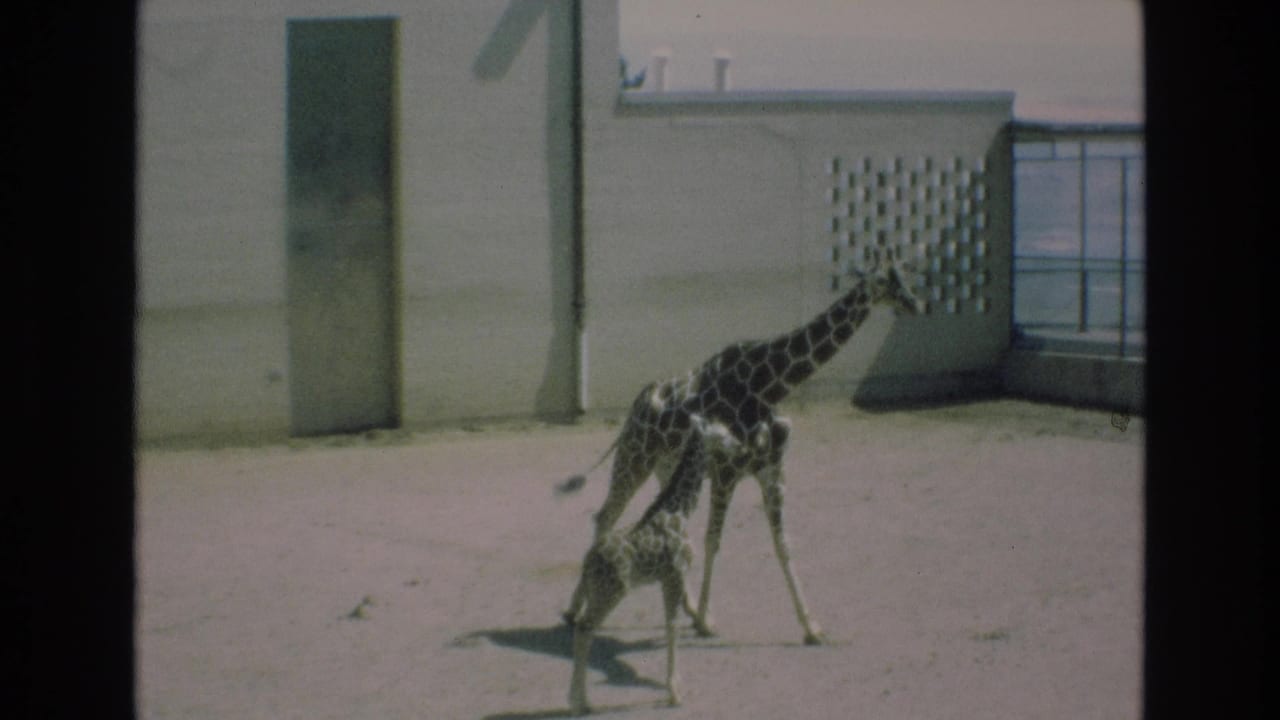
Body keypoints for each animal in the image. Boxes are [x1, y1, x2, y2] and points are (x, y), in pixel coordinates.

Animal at [559, 249, 924, 645]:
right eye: (885, 281)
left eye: (904, 275)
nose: (916, 304)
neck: (768, 386)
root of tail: (637, 405)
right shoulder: (726, 470)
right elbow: (713, 539)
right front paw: (706, 622)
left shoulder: (772, 470)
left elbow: (783, 544)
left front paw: (811, 627)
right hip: (635, 457)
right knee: (605, 516)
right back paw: (575, 608)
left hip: (667, 467)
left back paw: (684, 606)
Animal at [565, 415, 740, 715]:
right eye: (722, 433)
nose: (740, 447)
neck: (680, 509)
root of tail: (588, 563)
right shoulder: (676, 575)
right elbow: (672, 626)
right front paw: (675, 693)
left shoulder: (664, 579)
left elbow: (670, 624)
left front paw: (674, 688)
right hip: (611, 593)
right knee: (585, 629)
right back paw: (582, 702)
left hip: (597, 592)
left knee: (582, 628)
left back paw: (579, 699)